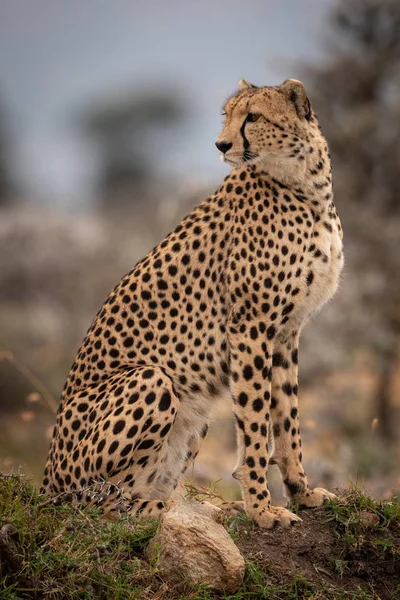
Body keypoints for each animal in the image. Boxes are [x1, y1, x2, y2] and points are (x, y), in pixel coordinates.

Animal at [43, 77, 344, 528]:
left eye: (253, 117)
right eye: (228, 115)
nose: (221, 144)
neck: (305, 184)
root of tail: (44, 484)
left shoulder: (286, 333)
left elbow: (286, 419)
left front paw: (302, 494)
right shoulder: (250, 327)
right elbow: (256, 424)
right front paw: (262, 509)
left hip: (194, 416)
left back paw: (212, 507)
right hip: (151, 381)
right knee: (100, 504)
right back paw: (171, 507)